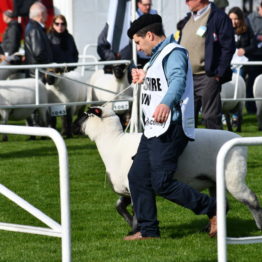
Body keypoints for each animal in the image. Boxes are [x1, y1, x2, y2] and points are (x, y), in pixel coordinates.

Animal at [74, 106, 262, 231]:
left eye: (84, 115)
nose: (73, 128)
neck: (113, 143)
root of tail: (239, 141)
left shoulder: (135, 184)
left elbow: (137, 210)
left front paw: (135, 230)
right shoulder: (128, 186)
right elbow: (119, 206)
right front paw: (130, 223)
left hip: (233, 177)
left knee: (251, 199)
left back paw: (258, 225)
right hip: (214, 182)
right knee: (222, 204)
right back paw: (209, 228)